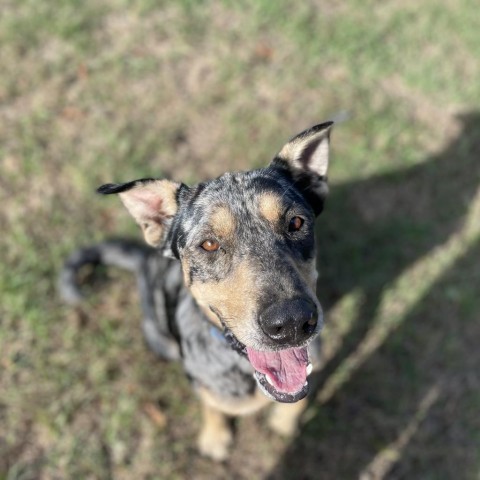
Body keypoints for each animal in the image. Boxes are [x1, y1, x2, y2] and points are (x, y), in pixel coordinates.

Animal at [60, 121, 334, 462]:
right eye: (209, 244)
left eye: (296, 223)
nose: (293, 322)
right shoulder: (200, 379)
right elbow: (210, 405)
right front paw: (215, 438)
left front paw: (285, 423)